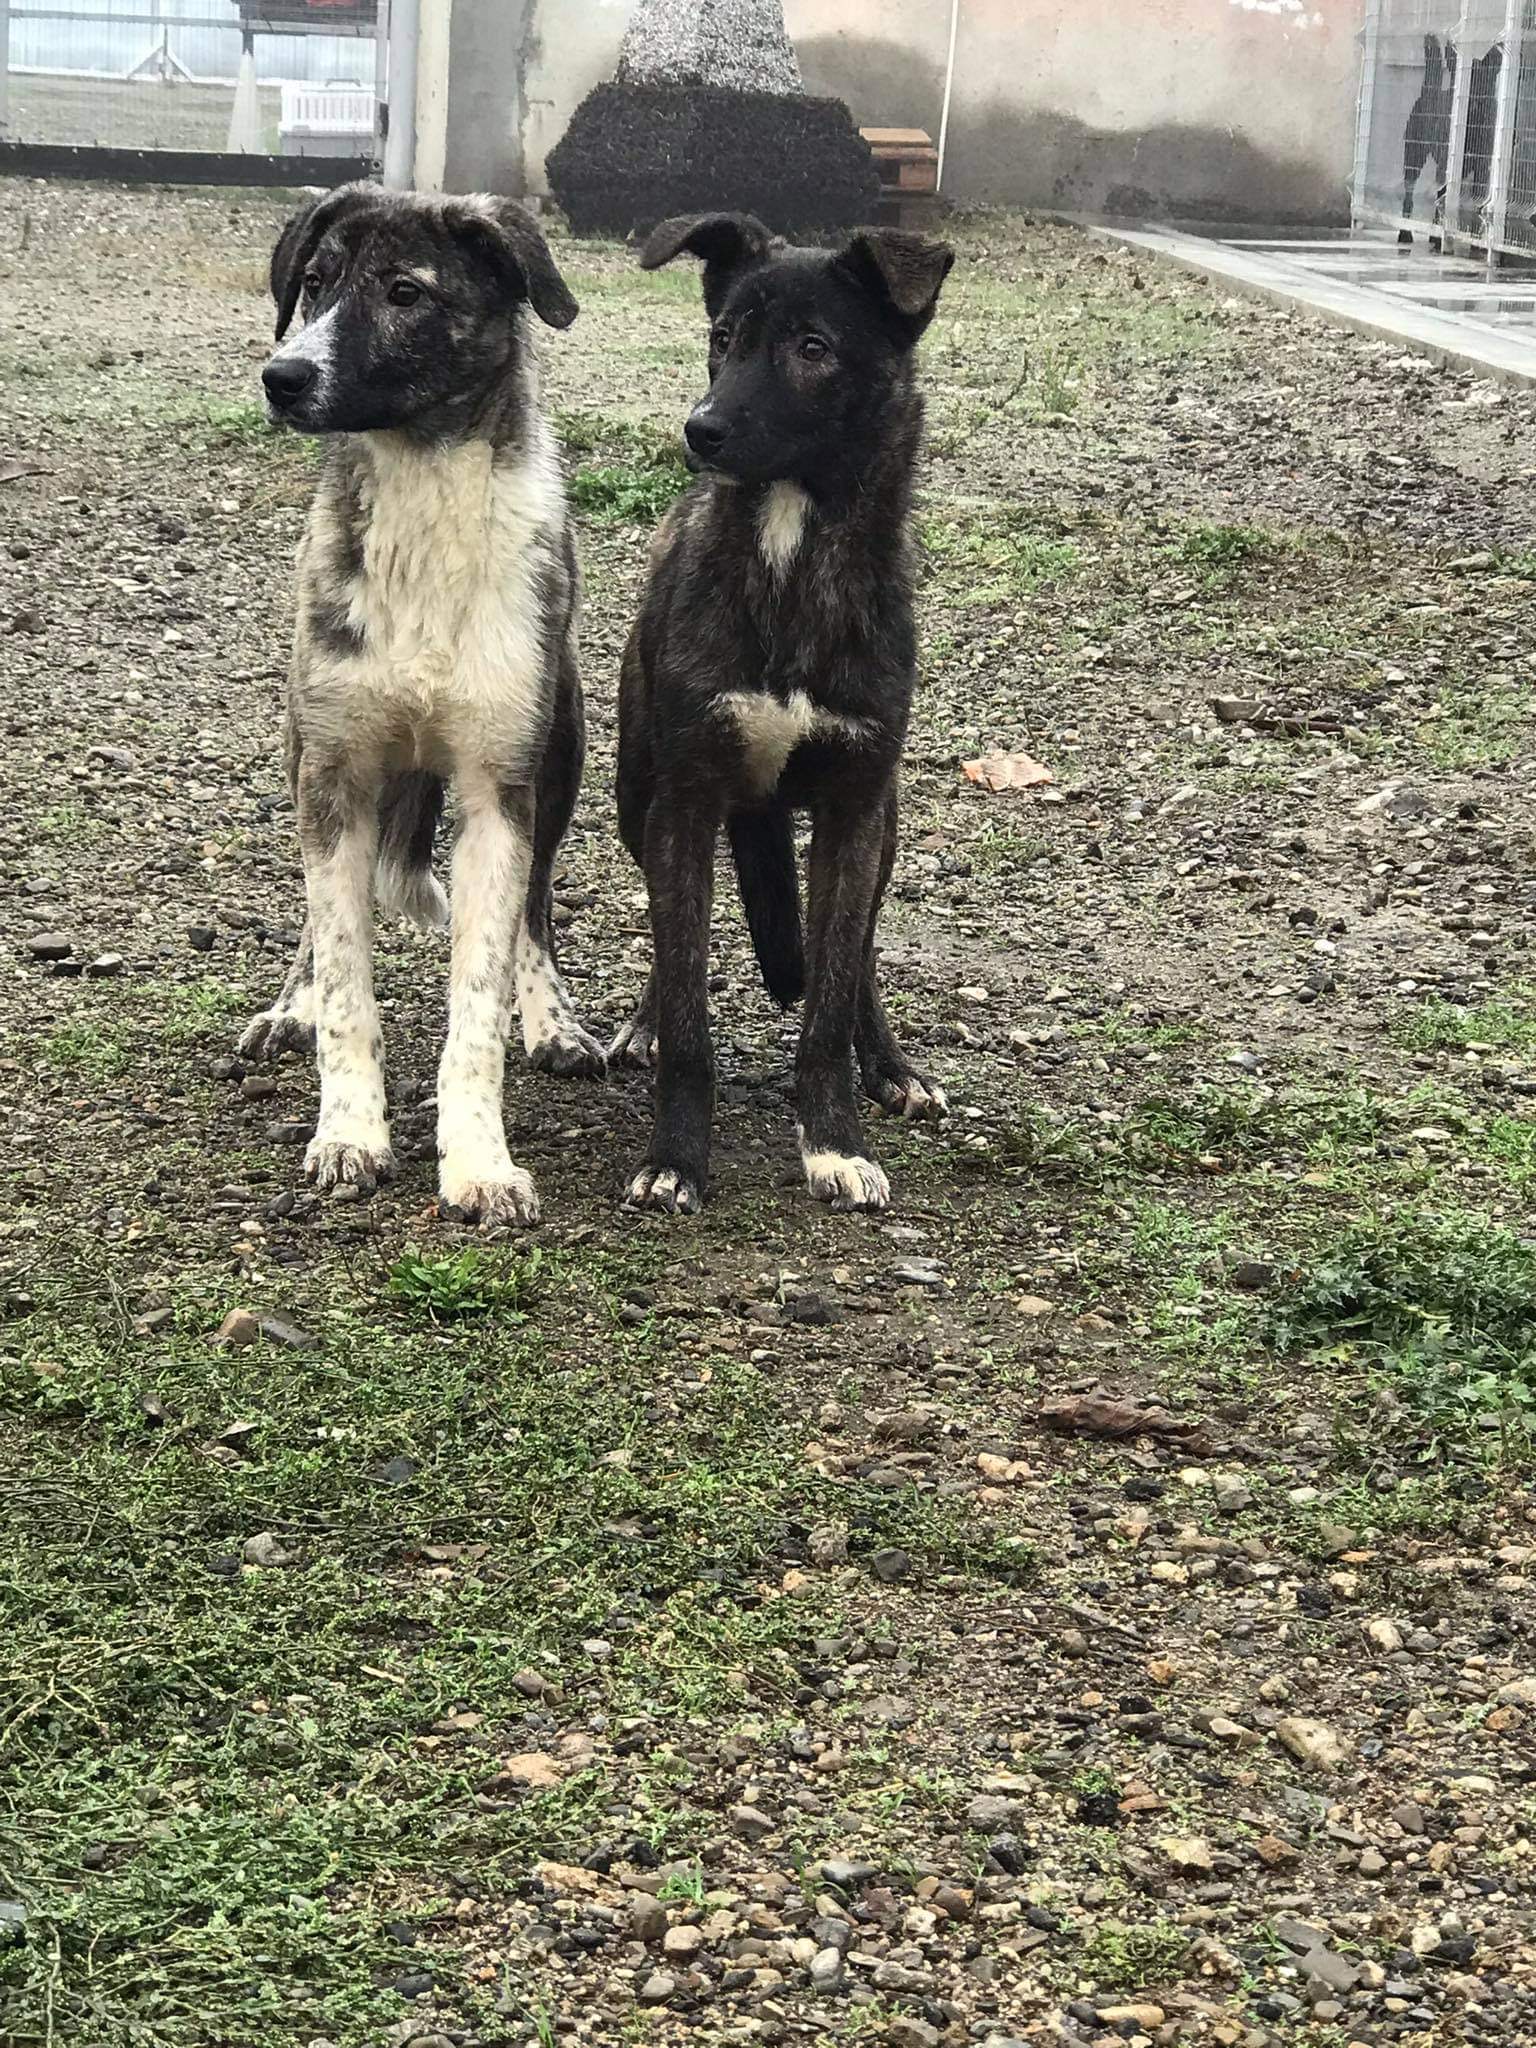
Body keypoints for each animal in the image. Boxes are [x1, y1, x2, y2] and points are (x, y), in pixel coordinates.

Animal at [239, 184, 604, 1227]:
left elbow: (478, 996)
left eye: (406, 292)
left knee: (538, 909)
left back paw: (552, 1018)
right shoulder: (332, 776)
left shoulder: (498, 796)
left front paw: (479, 1160)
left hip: (563, 756)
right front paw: (349, 1134)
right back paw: (288, 1003)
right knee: (319, 923)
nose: (283, 376)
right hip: (310, 761)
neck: (422, 500)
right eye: (315, 283)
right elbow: (346, 980)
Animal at [612, 212, 954, 1216]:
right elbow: (689, 1002)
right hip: (635, 797)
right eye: (723, 339)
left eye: (813, 349)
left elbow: (832, 995)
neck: (792, 553)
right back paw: (642, 1024)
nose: (702, 428)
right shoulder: (684, 805)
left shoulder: (853, 808)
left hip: (884, 830)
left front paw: (835, 1141)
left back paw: (893, 1065)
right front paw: (676, 1157)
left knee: (860, 952)